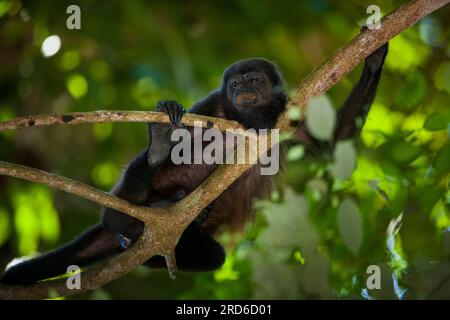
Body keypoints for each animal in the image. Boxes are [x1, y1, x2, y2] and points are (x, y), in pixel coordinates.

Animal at [0, 43, 388, 284]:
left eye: (253, 79)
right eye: (235, 82)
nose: (241, 87)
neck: (247, 117)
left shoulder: (292, 116)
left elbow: (329, 151)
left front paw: (374, 58)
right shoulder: (212, 103)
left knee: (212, 256)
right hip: (126, 204)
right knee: (130, 194)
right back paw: (153, 157)